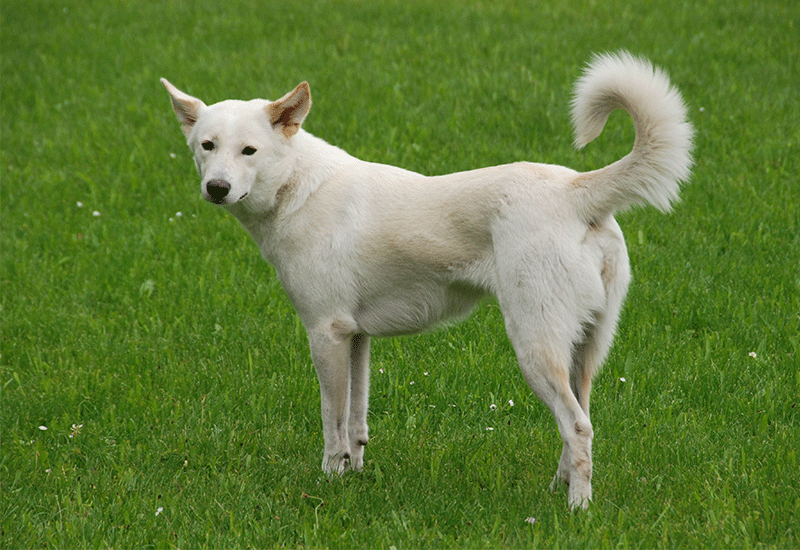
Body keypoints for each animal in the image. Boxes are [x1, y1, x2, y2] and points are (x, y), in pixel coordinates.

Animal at [162, 51, 693, 509]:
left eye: (249, 150)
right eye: (207, 146)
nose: (216, 188)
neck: (298, 187)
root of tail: (576, 190)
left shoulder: (325, 334)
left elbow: (332, 421)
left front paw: (330, 480)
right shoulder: (356, 338)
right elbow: (357, 420)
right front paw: (354, 476)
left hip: (535, 348)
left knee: (578, 428)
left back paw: (577, 508)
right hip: (581, 352)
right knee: (580, 419)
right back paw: (557, 489)